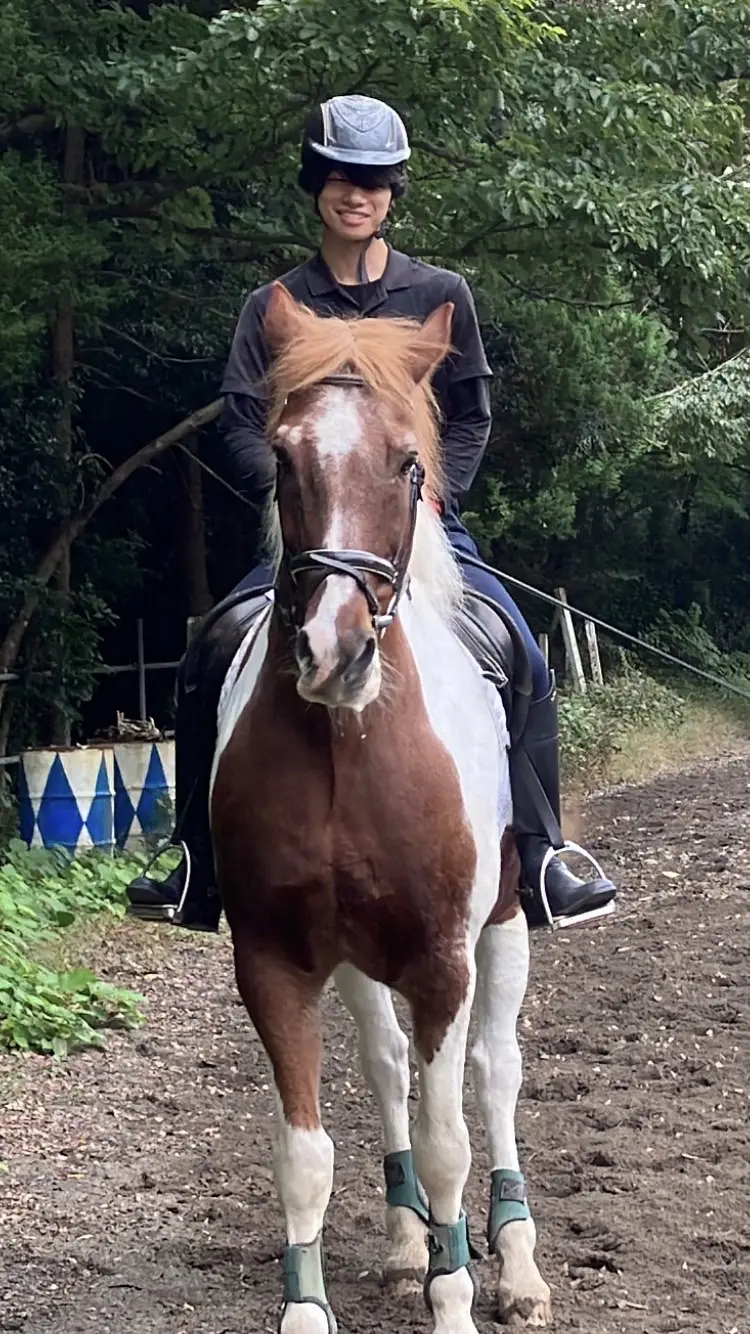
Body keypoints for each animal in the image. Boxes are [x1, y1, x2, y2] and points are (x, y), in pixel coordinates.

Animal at [209, 281, 552, 1334]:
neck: (345, 748)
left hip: (505, 923)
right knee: (388, 1066)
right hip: (357, 958)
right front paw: (309, 1308)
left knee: (493, 1078)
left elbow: (450, 1142)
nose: (335, 653)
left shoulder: (443, 960)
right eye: (284, 459)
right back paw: (407, 1245)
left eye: (410, 464)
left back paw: (514, 1263)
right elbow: (306, 1151)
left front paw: (459, 1297)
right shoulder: (273, 961)